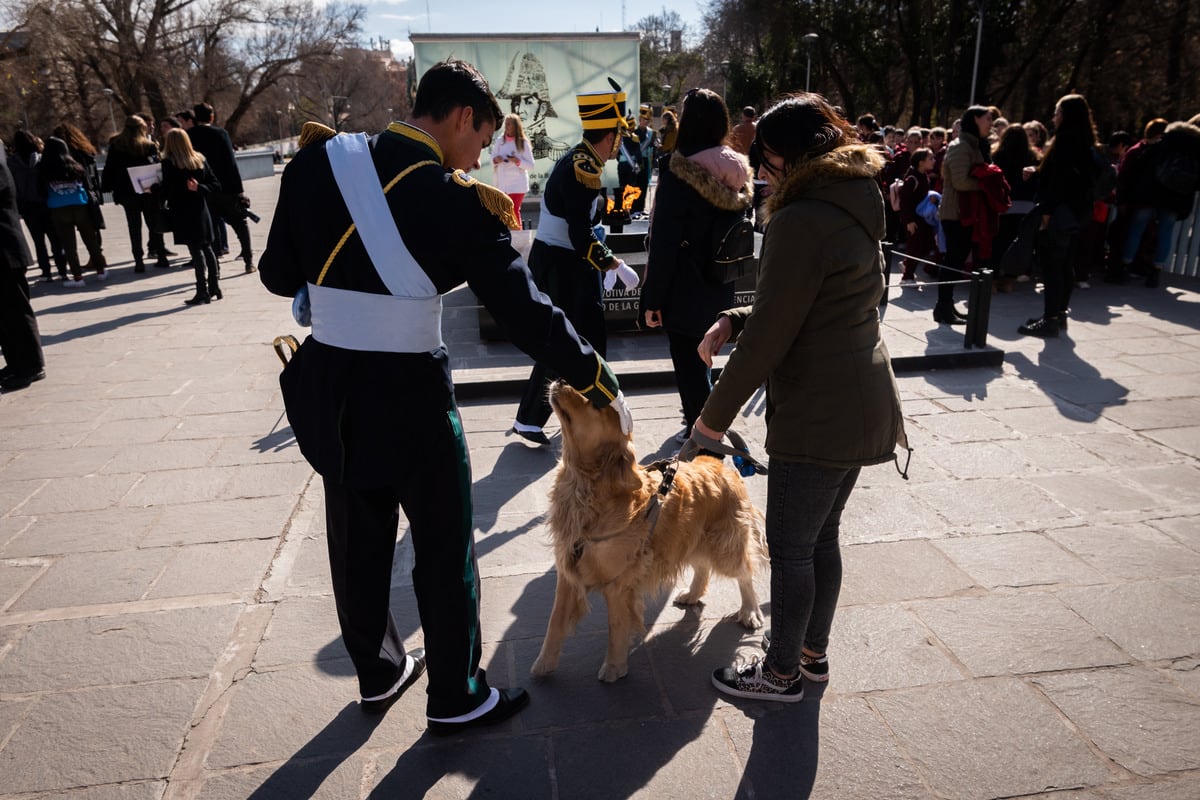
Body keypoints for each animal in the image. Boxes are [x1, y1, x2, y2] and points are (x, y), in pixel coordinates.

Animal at [530, 381, 763, 681]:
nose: (560, 381)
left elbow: (616, 626)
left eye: (594, 404)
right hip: (690, 537)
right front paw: (543, 664)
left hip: (723, 543)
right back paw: (692, 594)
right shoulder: (567, 573)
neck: (587, 487)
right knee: (702, 567)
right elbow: (555, 623)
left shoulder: (619, 583)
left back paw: (750, 611)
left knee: (744, 573)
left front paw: (614, 667)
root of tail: (719, 465)